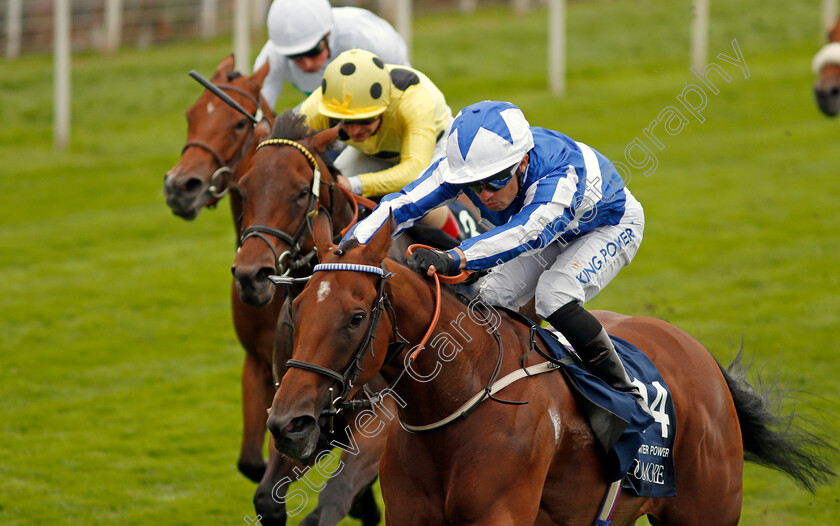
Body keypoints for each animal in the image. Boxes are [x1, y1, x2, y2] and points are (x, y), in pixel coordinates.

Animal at [270, 214, 832, 526]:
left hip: (705, 511)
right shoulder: (411, 515)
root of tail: (699, 355)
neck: (458, 399)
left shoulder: (498, 515)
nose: (287, 424)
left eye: (355, 317)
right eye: (296, 308)